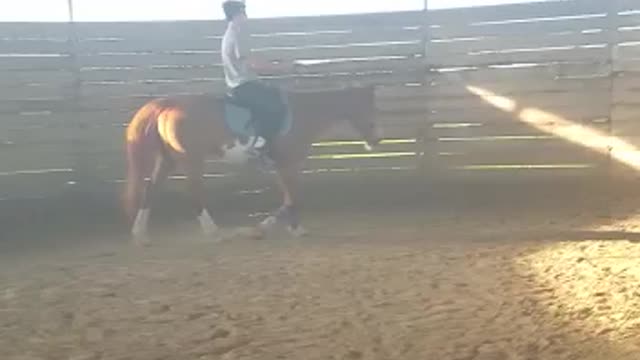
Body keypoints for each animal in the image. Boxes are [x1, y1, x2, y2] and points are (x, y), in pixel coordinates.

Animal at [122, 86, 380, 246]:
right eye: (370, 109)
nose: (376, 140)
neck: (304, 113)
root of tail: (168, 105)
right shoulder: (288, 164)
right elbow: (292, 197)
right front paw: (271, 229)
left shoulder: (285, 166)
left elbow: (290, 196)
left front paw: (286, 228)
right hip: (190, 159)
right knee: (193, 191)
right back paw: (214, 233)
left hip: (168, 159)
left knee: (151, 190)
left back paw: (141, 235)